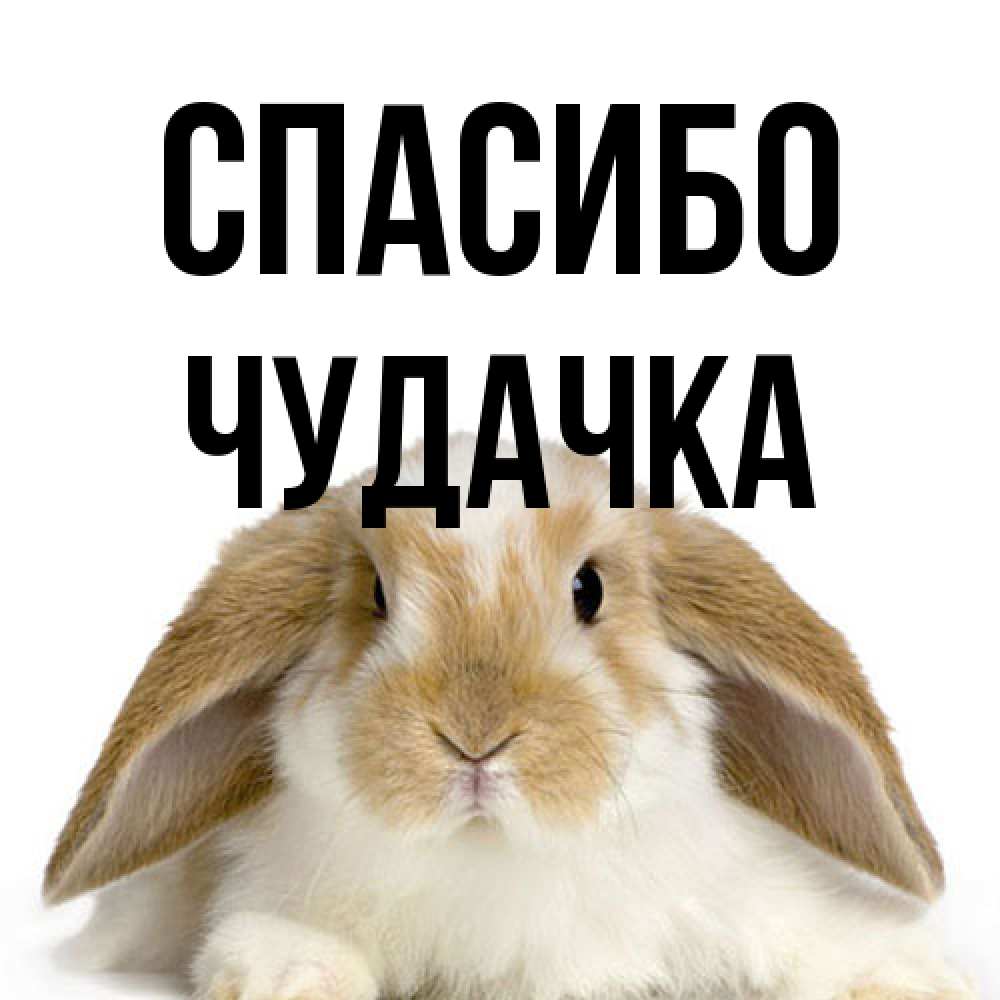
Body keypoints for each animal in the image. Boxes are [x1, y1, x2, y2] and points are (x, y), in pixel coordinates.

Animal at [45, 434, 975, 1000]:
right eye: (376, 596)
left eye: (589, 589)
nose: (475, 737)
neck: (496, 856)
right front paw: (292, 976)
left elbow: (817, 939)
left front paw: (911, 978)